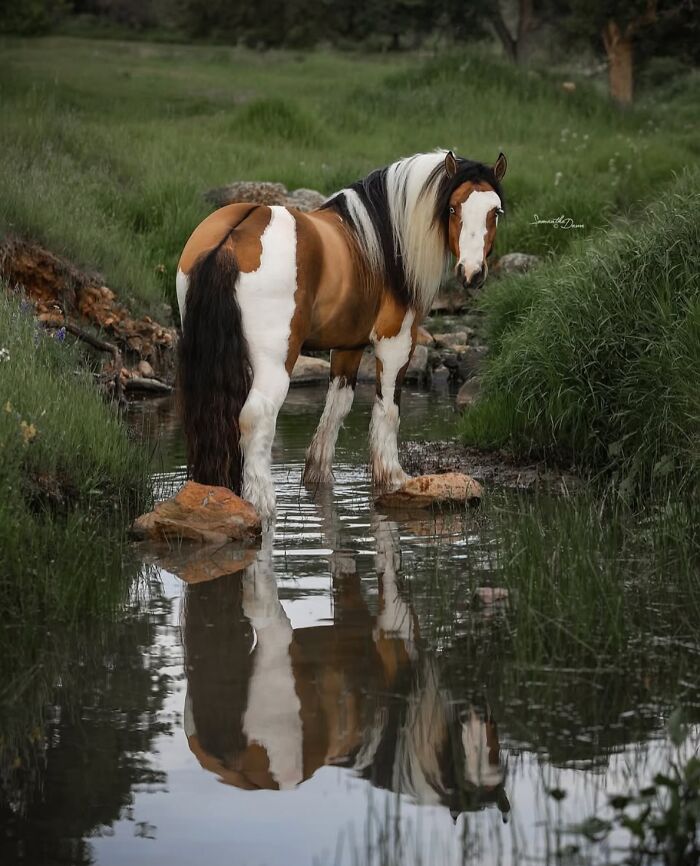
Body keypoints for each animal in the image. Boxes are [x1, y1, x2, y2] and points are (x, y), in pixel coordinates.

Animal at [176, 149, 507, 518]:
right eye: (452, 208)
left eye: (495, 211)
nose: (472, 273)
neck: (383, 244)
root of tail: (233, 237)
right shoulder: (396, 342)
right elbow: (387, 409)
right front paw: (393, 478)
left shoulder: (349, 346)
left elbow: (337, 407)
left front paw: (318, 476)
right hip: (274, 362)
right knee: (255, 418)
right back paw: (263, 504)